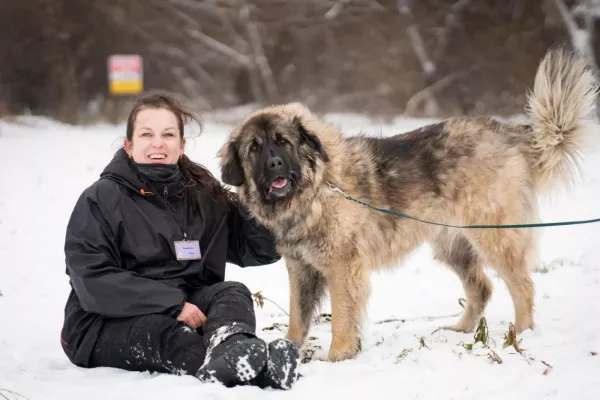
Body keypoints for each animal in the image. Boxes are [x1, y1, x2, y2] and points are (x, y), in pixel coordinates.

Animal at [218, 48, 600, 360]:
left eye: (283, 142)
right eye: (254, 148)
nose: (273, 164)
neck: (315, 191)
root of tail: (507, 131)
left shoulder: (343, 267)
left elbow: (342, 315)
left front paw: (338, 355)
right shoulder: (301, 269)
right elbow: (298, 315)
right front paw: (291, 348)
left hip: (494, 236)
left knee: (522, 286)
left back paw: (521, 334)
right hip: (453, 245)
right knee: (483, 287)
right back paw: (461, 331)